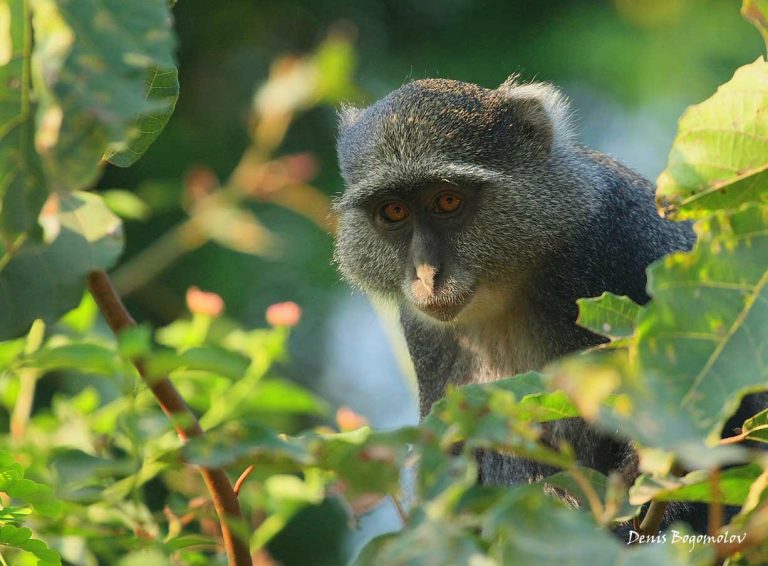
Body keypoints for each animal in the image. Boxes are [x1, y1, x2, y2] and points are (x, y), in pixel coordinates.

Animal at [332, 75, 766, 536]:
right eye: (394, 210)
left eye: (447, 201)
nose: (427, 274)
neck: (509, 284)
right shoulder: (423, 333)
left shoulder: (624, 238)